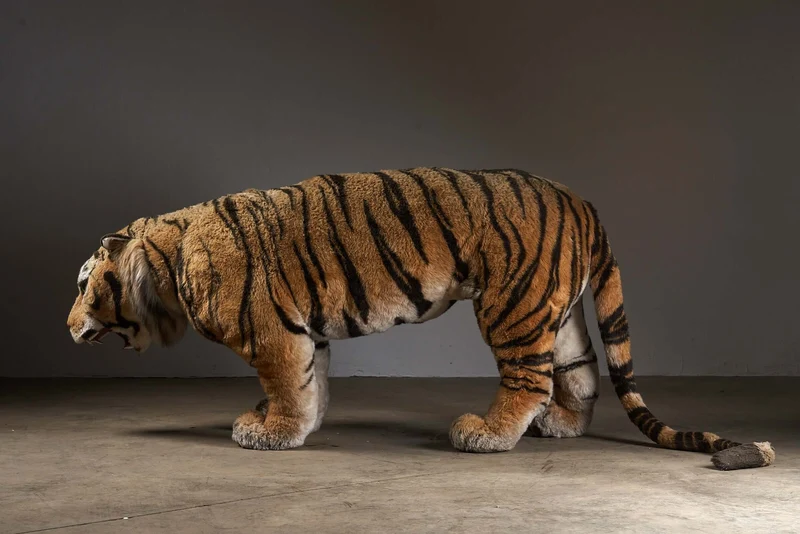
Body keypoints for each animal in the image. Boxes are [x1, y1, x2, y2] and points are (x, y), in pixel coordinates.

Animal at [66, 167, 774, 470]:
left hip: (512, 303)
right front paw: (293, 426)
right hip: (560, 307)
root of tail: (582, 201)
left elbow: (288, 385)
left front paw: (271, 432)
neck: (166, 259)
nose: (68, 326)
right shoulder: (303, 332)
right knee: (580, 369)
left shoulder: (272, 332)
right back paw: (562, 427)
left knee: (531, 377)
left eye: (81, 285)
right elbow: (312, 384)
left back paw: (487, 434)